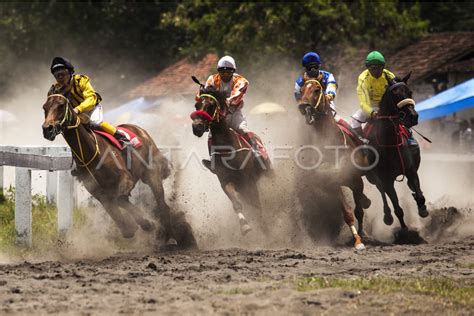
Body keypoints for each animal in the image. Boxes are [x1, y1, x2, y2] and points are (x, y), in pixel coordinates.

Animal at [41, 94, 196, 249]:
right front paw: (131, 227)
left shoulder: (125, 179)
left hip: (151, 174)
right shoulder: (97, 190)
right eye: (44, 107)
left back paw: (170, 237)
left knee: (163, 205)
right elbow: (114, 208)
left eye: (61, 106)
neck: (92, 153)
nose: (47, 129)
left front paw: (147, 224)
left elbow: (120, 199)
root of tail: (140, 130)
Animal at [189, 78, 270, 236]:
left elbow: (256, 204)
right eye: (197, 105)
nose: (197, 127)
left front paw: (265, 228)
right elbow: (236, 203)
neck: (227, 149)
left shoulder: (248, 180)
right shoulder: (225, 180)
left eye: (211, 105)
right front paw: (245, 226)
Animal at [298, 78, 372, 248]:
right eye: (302, 90)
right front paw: (357, 240)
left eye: (317, 89)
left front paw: (362, 236)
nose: (303, 106)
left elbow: (359, 211)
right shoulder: (333, 184)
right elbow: (348, 213)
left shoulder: (356, 180)